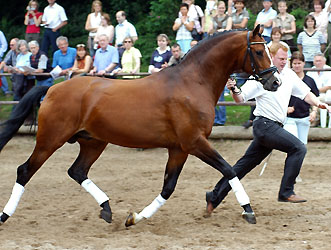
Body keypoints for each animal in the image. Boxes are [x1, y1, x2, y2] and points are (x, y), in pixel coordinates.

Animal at [0, 25, 280, 227]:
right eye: (258, 52)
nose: (275, 82)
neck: (193, 82)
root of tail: (51, 89)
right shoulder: (194, 142)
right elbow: (229, 170)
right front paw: (248, 211)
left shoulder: (179, 148)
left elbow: (168, 187)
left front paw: (135, 218)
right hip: (51, 139)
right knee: (25, 171)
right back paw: (5, 216)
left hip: (93, 142)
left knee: (77, 171)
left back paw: (107, 209)